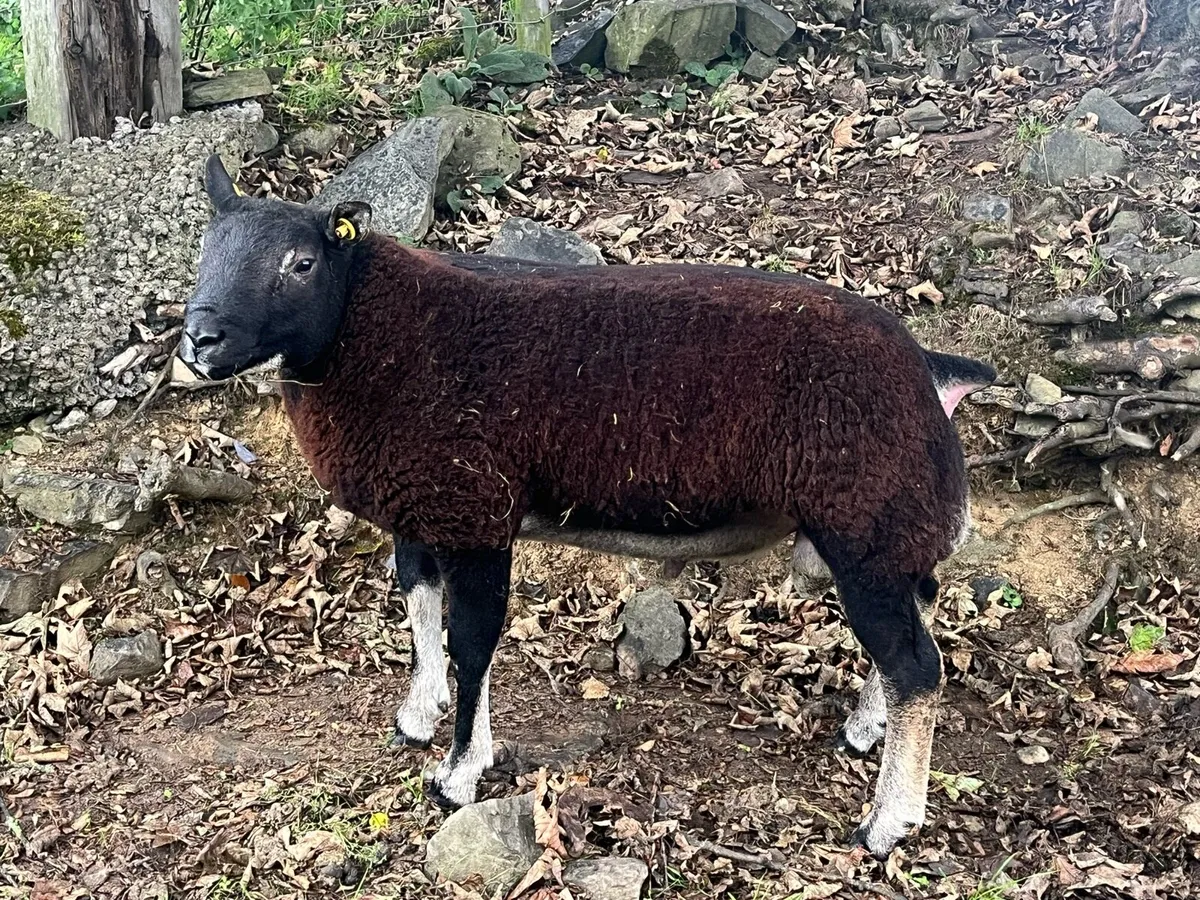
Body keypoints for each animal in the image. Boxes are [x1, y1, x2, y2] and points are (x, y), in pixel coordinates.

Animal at [182, 155, 996, 859]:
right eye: (204, 246)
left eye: (301, 263)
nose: (199, 339)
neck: (369, 335)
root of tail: (929, 369)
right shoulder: (424, 507)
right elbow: (417, 605)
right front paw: (418, 715)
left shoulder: (476, 512)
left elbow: (472, 640)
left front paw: (459, 773)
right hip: (888, 526)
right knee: (916, 623)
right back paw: (865, 729)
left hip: (867, 522)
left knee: (918, 665)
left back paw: (889, 821)